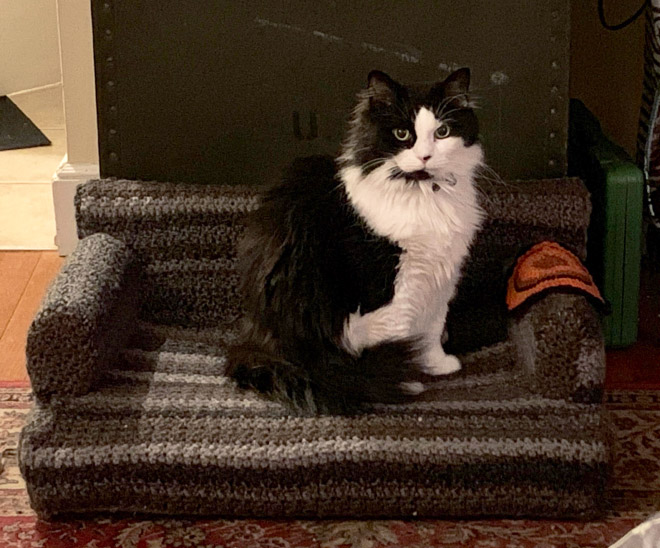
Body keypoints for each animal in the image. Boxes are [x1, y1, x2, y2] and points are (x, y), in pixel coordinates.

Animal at [229, 68, 482, 412]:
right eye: (402, 134)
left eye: (442, 132)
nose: (425, 156)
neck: (421, 191)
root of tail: (258, 338)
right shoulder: (396, 287)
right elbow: (399, 334)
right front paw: (405, 379)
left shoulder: (439, 276)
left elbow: (431, 330)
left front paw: (436, 364)